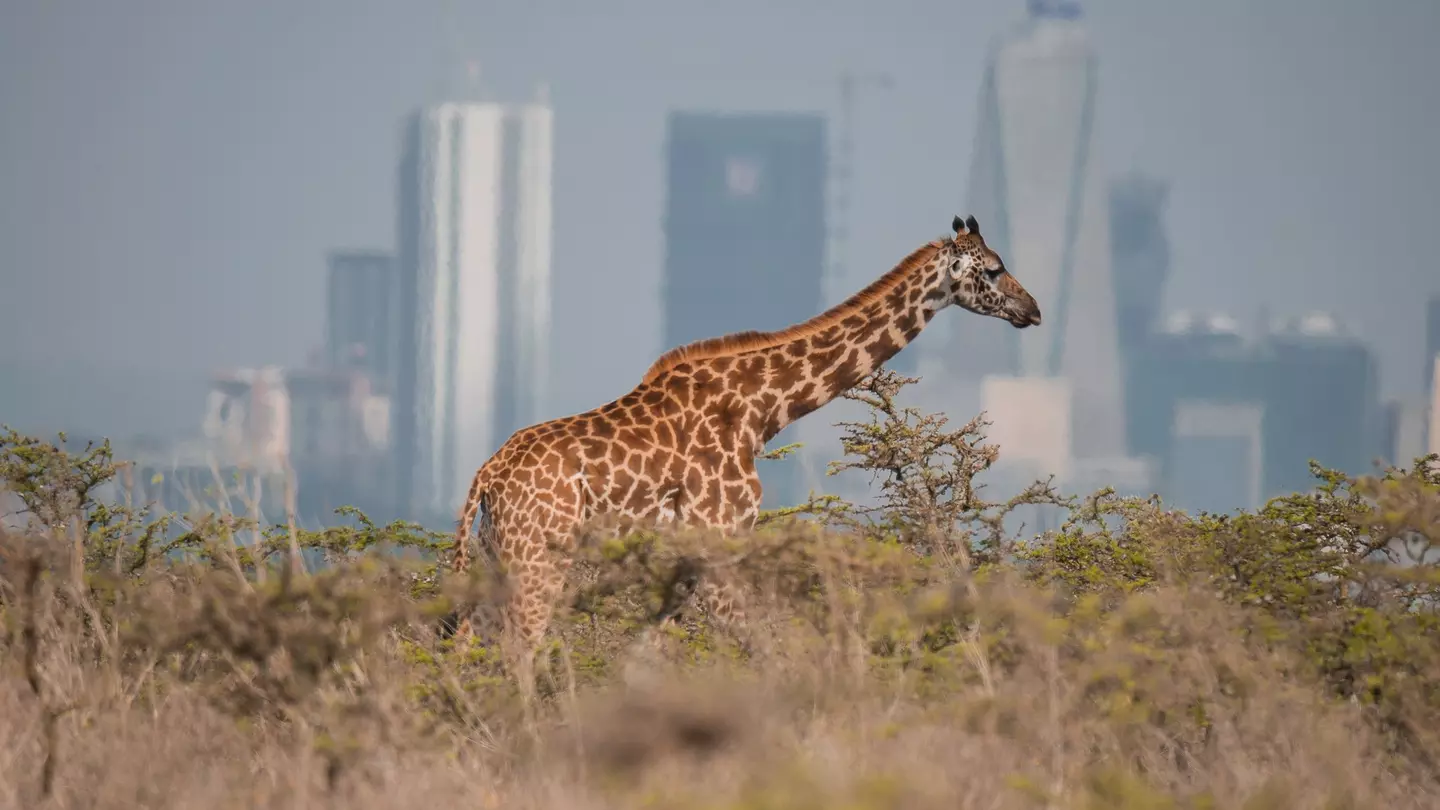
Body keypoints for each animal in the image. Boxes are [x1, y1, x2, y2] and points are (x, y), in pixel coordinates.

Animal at [448, 213, 1041, 680]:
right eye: (993, 268)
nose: (1031, 309)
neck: (760, 411)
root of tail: (487, 476)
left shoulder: (688, 558)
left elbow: (644, 659)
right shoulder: (720, 540)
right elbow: (761, 650)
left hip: (496, 557)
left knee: (465, 648)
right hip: (538, 559)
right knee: (517, 652)